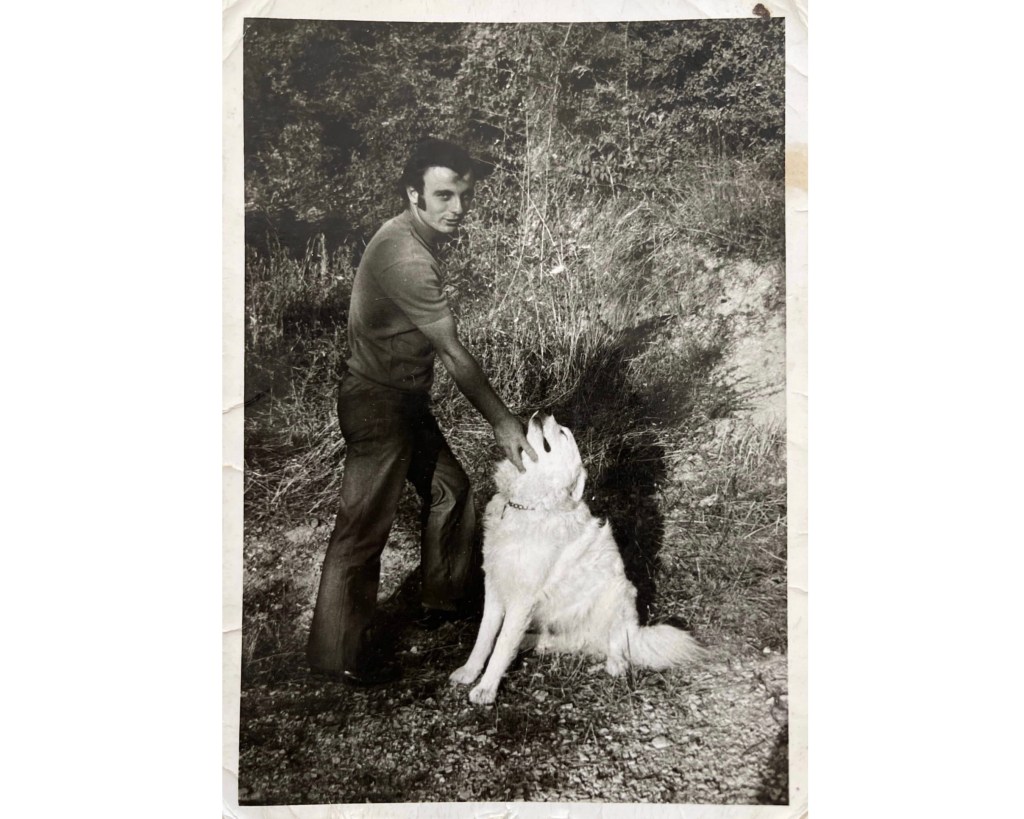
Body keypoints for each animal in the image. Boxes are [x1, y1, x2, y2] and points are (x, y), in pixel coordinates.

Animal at [449, 413, 703, 704]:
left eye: (562, 434)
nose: (545, 415)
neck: (528, 505)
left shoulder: (522, 599)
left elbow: (501, 644)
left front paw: (486, 689)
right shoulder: (494, 586)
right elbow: (485, 636)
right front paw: (469, 672)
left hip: (617, 594)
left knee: (617, 644)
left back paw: (615, 664)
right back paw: (531, 642)